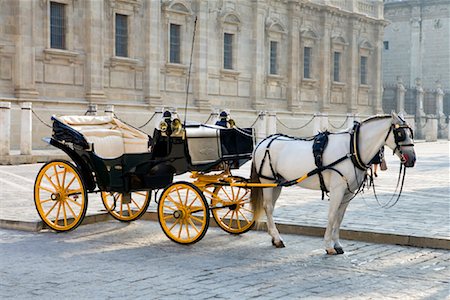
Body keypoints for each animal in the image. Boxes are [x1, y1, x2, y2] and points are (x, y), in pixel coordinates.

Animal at [250, 112, 414, 255]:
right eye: (400, 134)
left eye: (411, 133)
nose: (412, 159)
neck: (352, 149)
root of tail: (263, 142)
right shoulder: (337, 189)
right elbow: (332, 215)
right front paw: (328, 246)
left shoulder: (347, 192)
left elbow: (339, 217)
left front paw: (337, 244)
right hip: (267, 181)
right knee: (268, 207)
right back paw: (277, 238)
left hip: (277, 183)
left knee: (270, 207)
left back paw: (274, 237)